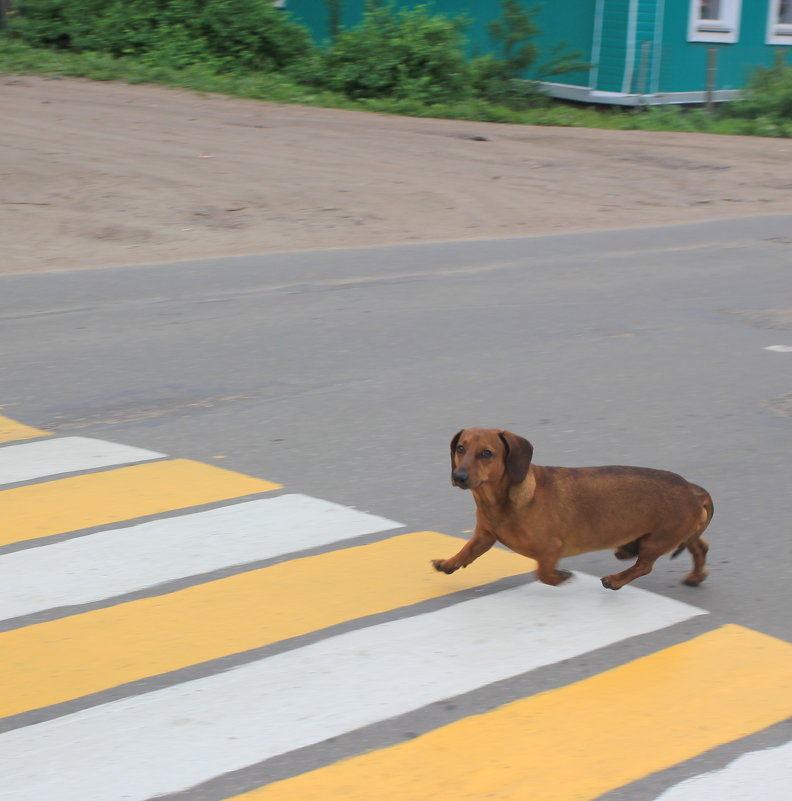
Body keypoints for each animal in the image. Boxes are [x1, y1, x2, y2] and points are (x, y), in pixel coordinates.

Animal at [434, 428, 712, 592]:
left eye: (486, 453)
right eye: (460, 448)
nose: (458, 477)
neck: (503, 502)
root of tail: (693, 489)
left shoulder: (550, 549)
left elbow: (543, 573)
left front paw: (562, 576)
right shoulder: (484, 534)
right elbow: (468, 550)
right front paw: (448, 563)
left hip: (657, 541)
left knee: (644, 566)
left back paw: (615, 580)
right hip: (679, 534)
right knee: (700, 545)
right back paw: (694, 577)